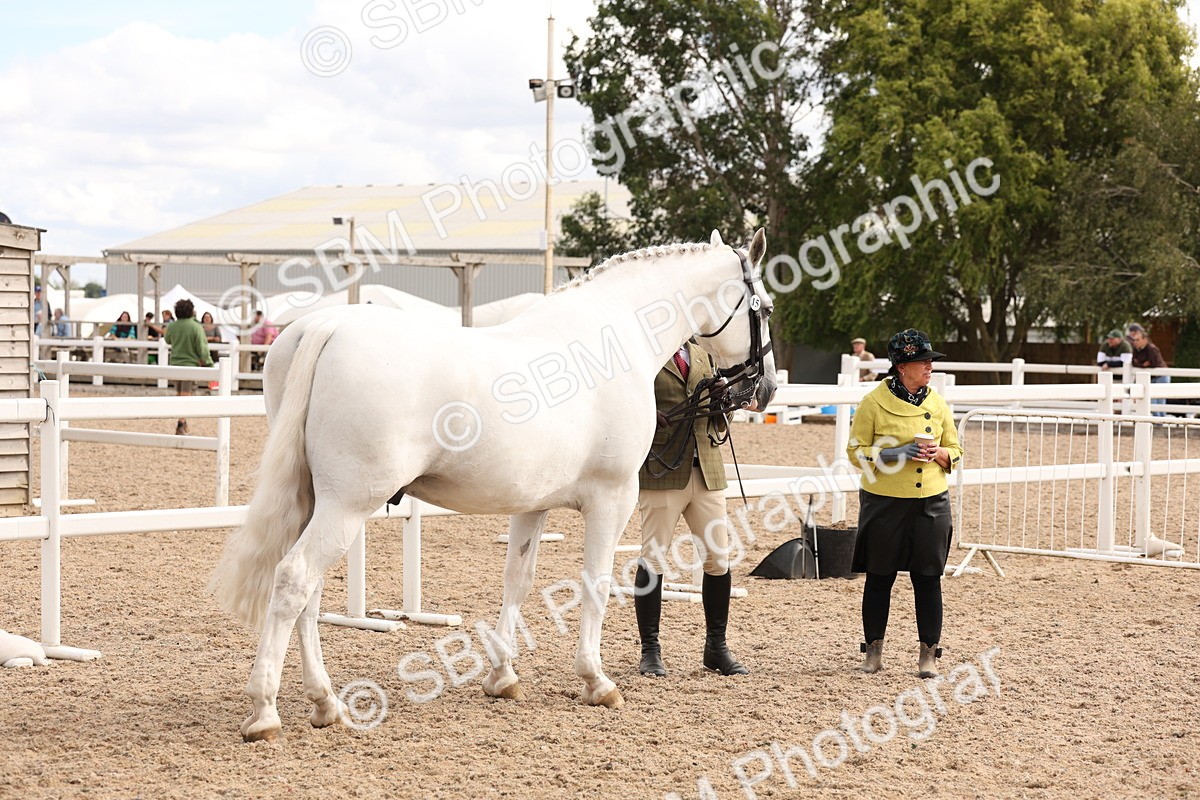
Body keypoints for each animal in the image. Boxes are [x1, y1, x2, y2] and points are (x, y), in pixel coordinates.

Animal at [210, 229, 776, 742]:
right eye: (766, 308)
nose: (765, 387)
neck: (610, 338)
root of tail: (326, 325)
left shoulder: (533, 505)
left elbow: (516, 580)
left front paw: (502, 676)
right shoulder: (613, 499)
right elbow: (595, 584)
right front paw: (596, 680)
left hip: (318, 503)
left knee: (308, 594)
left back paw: (325, 702)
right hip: (347, 505)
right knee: (294, 580)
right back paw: (265, 712)